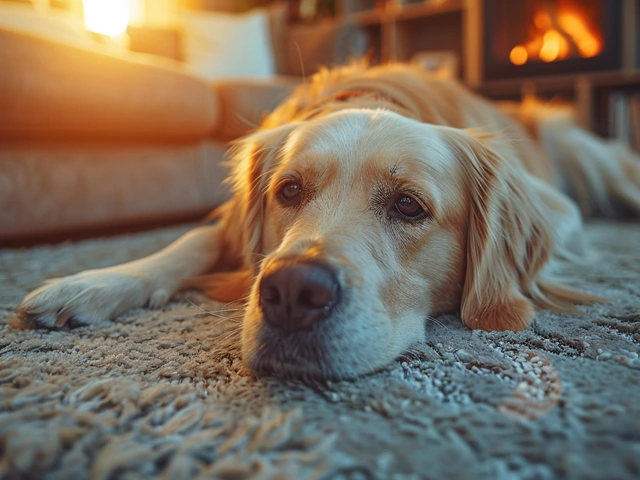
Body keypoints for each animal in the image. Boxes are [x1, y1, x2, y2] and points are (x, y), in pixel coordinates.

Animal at [11, 62, 640, 378]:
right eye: (289, 190)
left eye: (409, 205)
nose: (292, 292)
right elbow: (189, 241)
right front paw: (91, 284)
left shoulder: (562, 212)